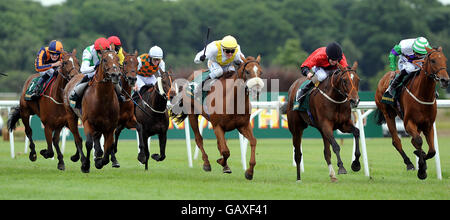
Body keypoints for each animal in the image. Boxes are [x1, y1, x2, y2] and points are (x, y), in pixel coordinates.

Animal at [374, 46, 448, 179]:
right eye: (433, 60)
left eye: (445, 60)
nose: (445, 80)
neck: (423, 95)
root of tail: (383, 78)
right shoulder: (409, 123)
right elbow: (418, 141)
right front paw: (422, 170)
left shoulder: (428, 125)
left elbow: (432, 150)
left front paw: (422, 159)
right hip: (388, 114)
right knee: (396, 141)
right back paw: (409, 163)